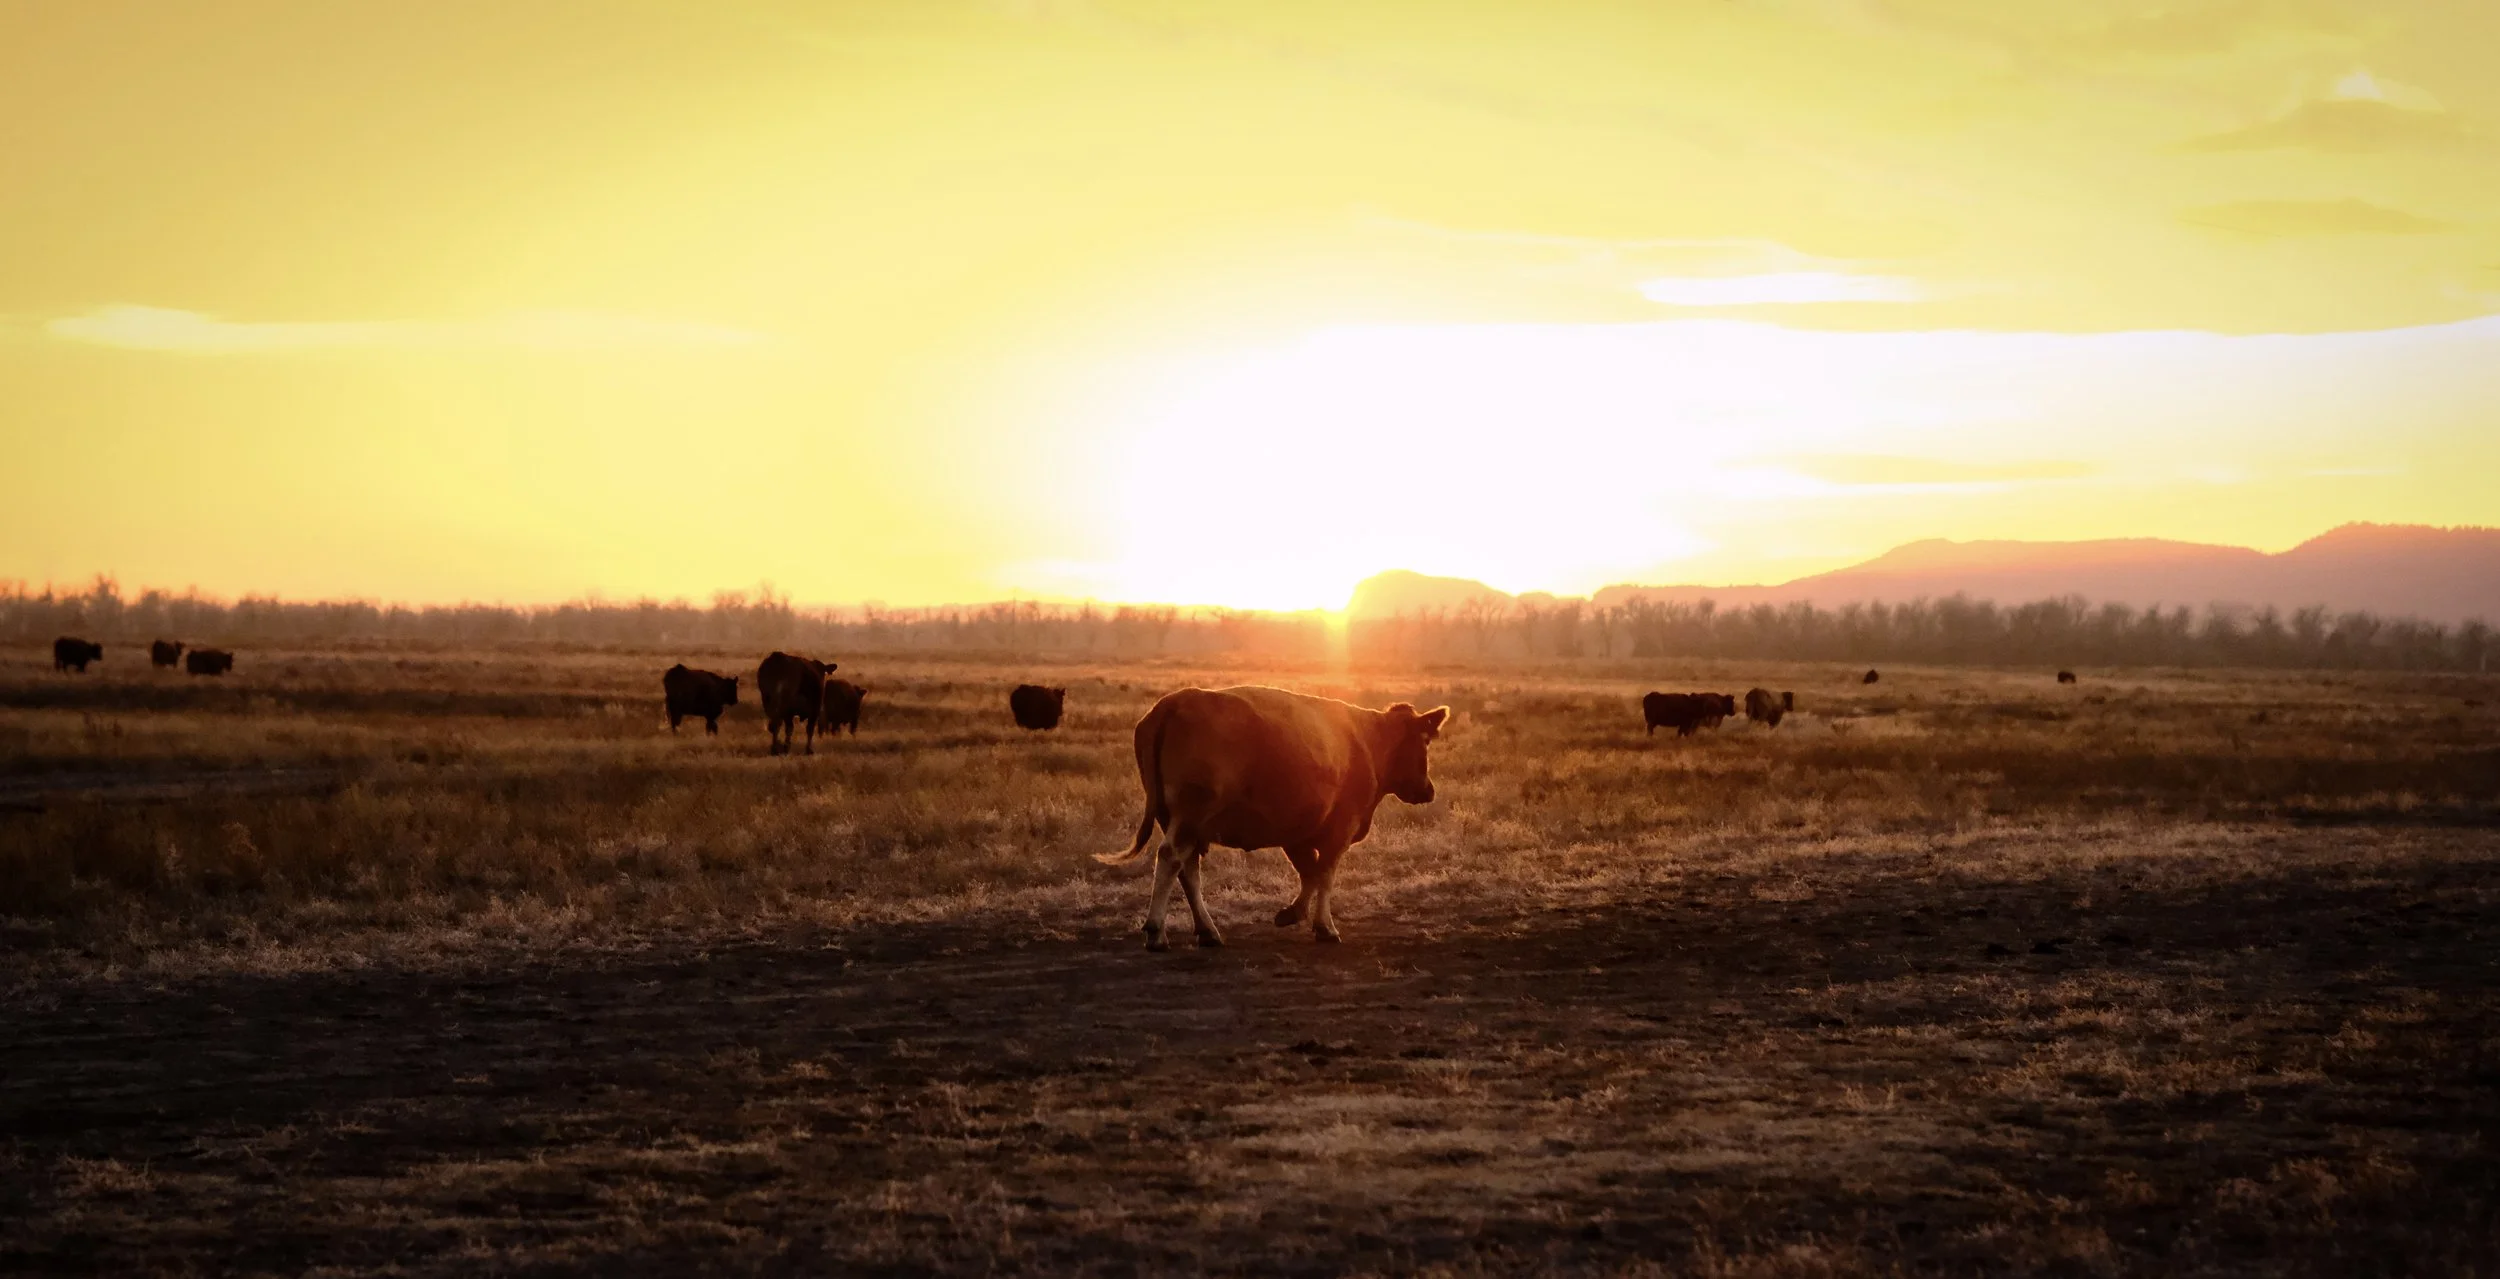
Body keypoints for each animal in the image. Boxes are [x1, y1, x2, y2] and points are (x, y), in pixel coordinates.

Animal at [1097, 686, 1449, 949]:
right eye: (1425, 741)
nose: (1428, 789)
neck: (1367, 741)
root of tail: (1176, 701)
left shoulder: (1297, 832)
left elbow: (1310, 873)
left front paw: (1292, 914)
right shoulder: (1339, 829)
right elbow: (1324, 875)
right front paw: (1325, 926)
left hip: (1182, 823)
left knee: (1187, 870)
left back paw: (1208, 931)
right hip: (1189, 817)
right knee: (1171, 858)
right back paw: (1157, 931)